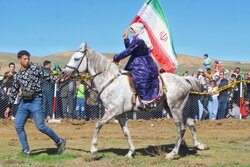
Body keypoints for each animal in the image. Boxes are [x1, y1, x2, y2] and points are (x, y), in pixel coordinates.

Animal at [62, 42, 207, 159]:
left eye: (76, 58)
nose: (63, 72)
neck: (110, 81)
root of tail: (184, 80)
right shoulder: (120, 114)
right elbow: (126, 132)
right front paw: (130, 152)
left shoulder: (112, 111)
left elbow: (98, 125)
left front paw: (93, 149)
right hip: (172, 109)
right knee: (190, 122)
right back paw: (199, 145)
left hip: (175, 108)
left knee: (181, 128)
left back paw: (172, 154)